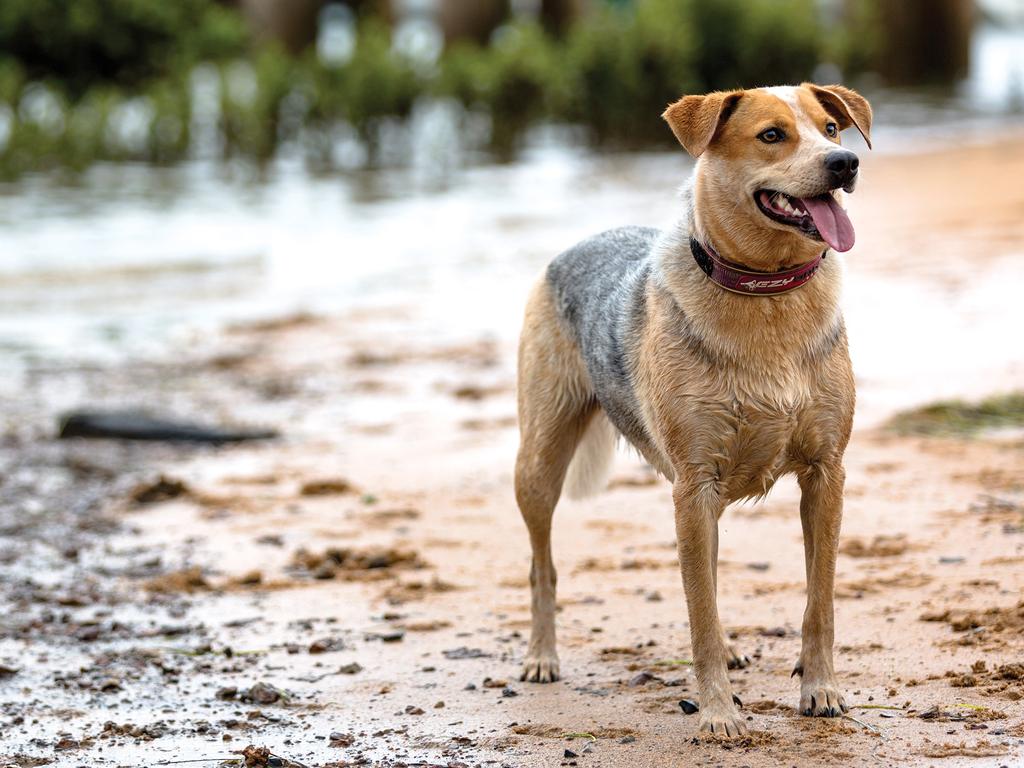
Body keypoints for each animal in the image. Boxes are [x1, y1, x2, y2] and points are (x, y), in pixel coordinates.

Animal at [512, 81, 872, 737]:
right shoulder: (694, 483)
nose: (844, 164)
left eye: (832, 128)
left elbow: (820, 600)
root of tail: (578, 244)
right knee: (541, 565)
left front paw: (821, 690)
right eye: (772, 135)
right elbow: (699, 612)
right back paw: (541, 658)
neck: (766, 290)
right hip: (541, 460)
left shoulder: (825, 472)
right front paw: (718, 712)